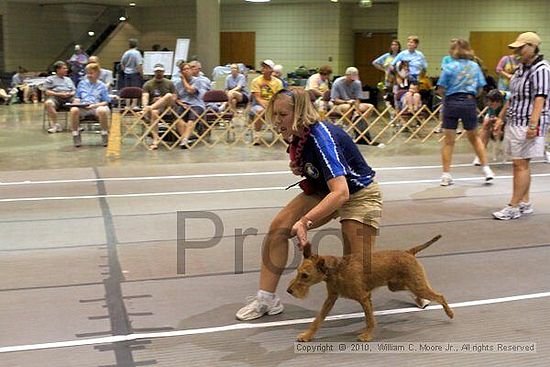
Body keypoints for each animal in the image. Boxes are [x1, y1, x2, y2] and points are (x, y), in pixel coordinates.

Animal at [286, 236, 454, 342]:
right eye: (298, 272)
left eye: (305, 276)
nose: (289, 291)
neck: (338, 270)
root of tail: (408, 252)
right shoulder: (331, 299)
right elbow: (318, 320)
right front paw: (307, 335)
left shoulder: (364, 297)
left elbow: (369, 320)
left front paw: (366, 335)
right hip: (397, 285)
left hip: (417, 286)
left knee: (440, 296)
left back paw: (449, 313)